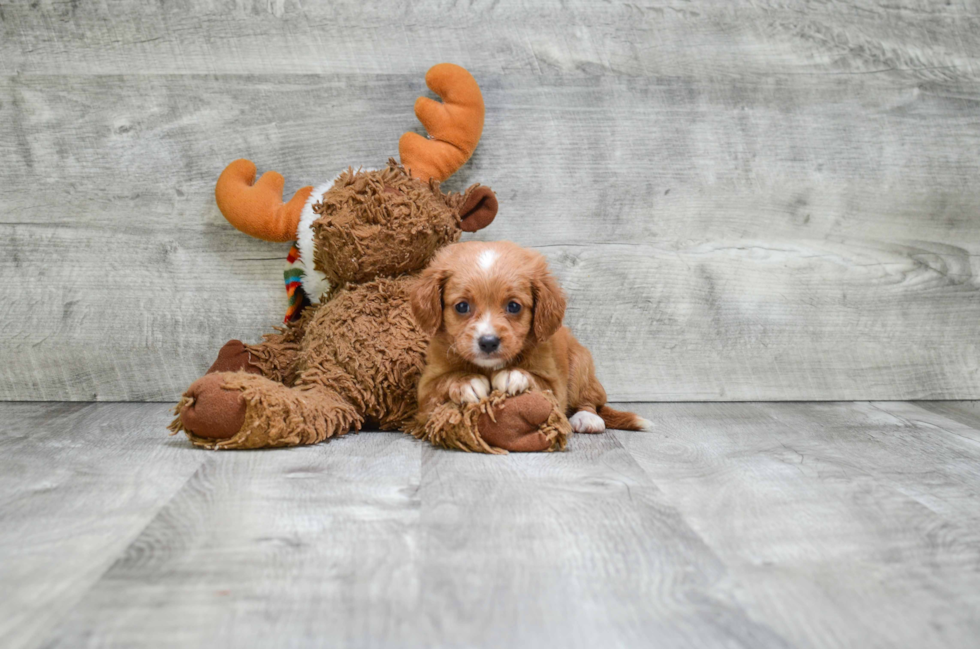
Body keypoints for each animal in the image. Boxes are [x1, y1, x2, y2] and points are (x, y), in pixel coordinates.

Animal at [410, 242, 648, 436]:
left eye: (513, 306)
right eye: (462, 306)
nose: (488, 342)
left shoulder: (555, 386)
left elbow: (537, 379)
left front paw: (513, 374)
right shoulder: (425, 388)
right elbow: (444, 380)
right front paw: (466, 380)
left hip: (581, 365)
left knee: (589, 401)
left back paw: (587, 418)